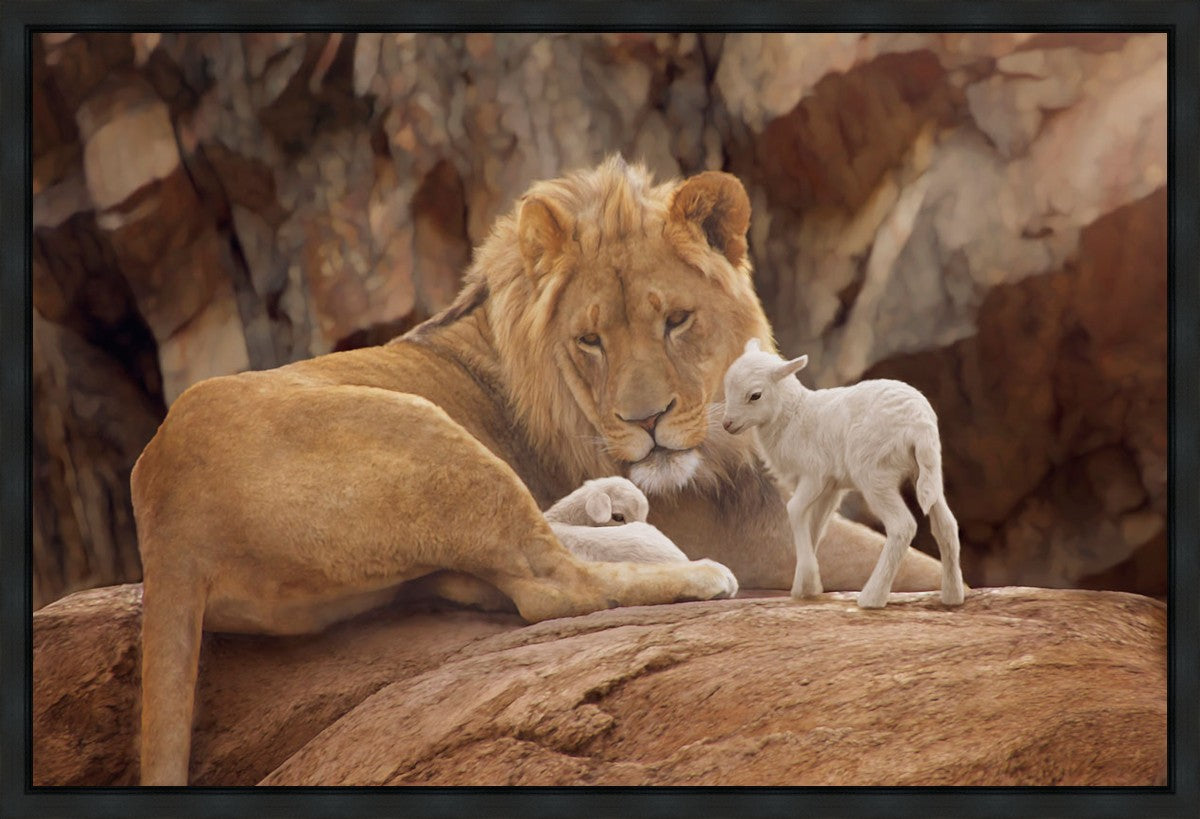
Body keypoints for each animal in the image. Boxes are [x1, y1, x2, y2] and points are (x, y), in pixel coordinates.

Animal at [721, 338, 965, 609]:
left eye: (755, 395)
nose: (727, 424)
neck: (793, 416)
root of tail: (919, 424)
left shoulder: (814, 474)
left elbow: (794, 510)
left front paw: (808, 581)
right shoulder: (831, 487)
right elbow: (815, 525)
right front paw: (806, 586)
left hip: (874, 473)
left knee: (902, 526)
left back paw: (872, 597)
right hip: (928, 470)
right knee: (946, 525)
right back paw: (952, 596)